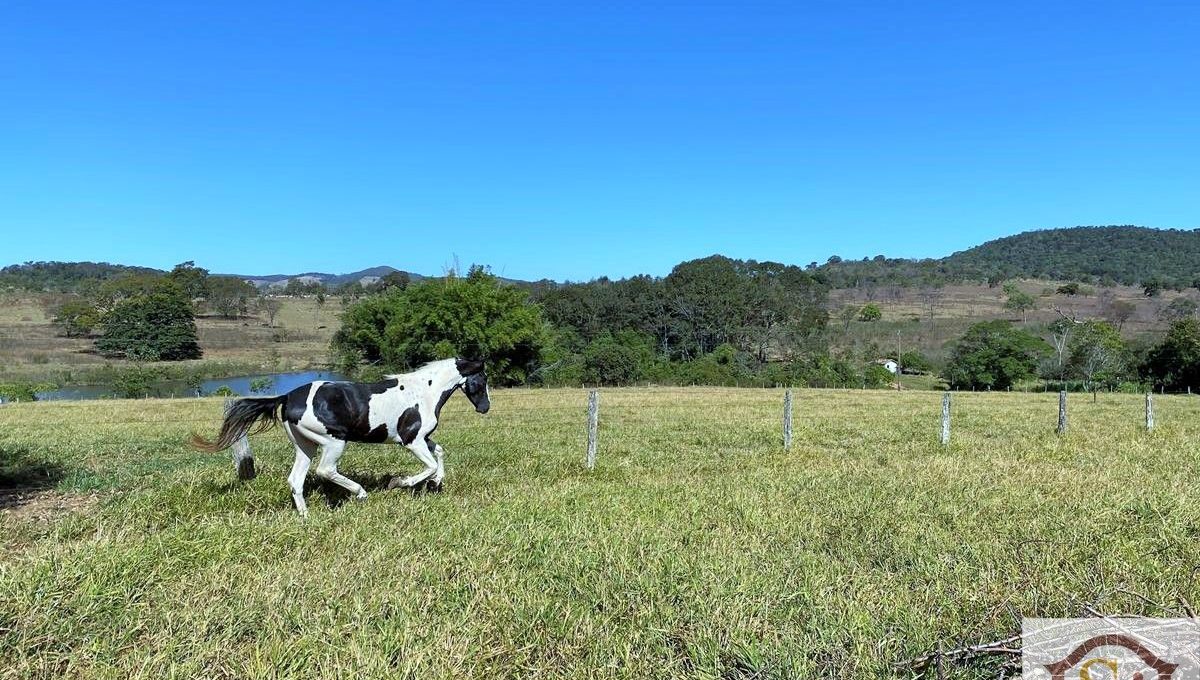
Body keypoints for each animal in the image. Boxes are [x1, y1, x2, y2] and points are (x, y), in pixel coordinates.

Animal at [190, 359, 487, 513]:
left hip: (305, 446)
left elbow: (439, 453)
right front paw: (399, 483)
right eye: (482, 380)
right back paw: (360, 493)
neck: (424, 392)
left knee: (296, 479)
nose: (485, 408)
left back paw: (306, 516)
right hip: (334, 441)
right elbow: (429, 465)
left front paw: (436, 484)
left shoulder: (423, 439)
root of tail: (287, 397)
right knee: (325, 470)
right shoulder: (411, 441)